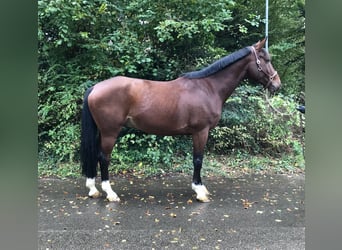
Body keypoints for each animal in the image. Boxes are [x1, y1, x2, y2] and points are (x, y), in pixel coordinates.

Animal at [80, 38, 280, 202]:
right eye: (266, 60)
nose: (277, 84)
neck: (208, 87)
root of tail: (95, 87)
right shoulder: (201, 132)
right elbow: (198, 159)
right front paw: (199, 191)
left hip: (102, 131)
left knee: (95, 154)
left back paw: (93, 189)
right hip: (110, 132)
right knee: (103, 157)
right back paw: (110, 193)